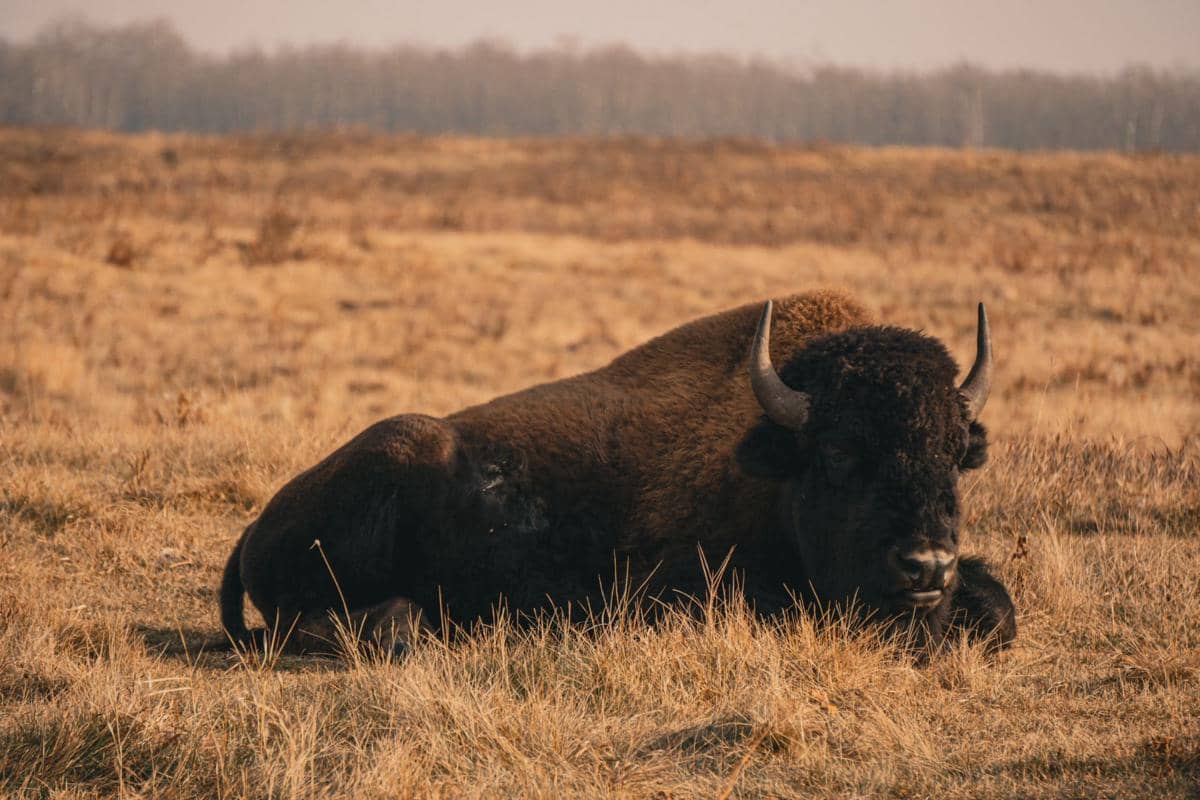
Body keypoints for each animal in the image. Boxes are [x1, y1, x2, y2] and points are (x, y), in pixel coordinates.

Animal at [220, 291, 1016, 655]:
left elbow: (1001, 607)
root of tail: (257, 525)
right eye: (841, 450)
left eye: (954, 451)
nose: (926, 566)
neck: (775, 459)